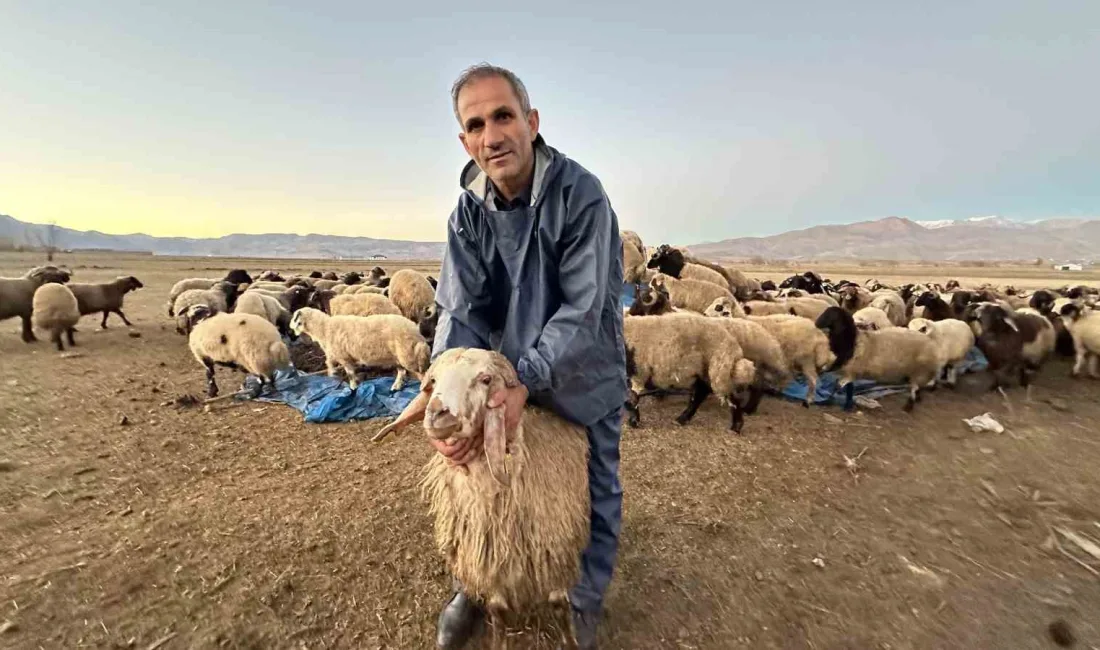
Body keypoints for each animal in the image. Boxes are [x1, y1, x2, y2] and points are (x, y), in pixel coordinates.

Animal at [288, 307, 429, 393]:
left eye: (295, 318)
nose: (290, 331)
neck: (324, 328)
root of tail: (415, 330)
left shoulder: (344, 357)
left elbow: (350, 374)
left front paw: (353, 387)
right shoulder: (336, 355)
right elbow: (330, 364)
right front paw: (333, 375)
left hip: (408, 355)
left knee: (422, 373)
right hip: (399, 357)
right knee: (402, 372)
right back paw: (396, 387)